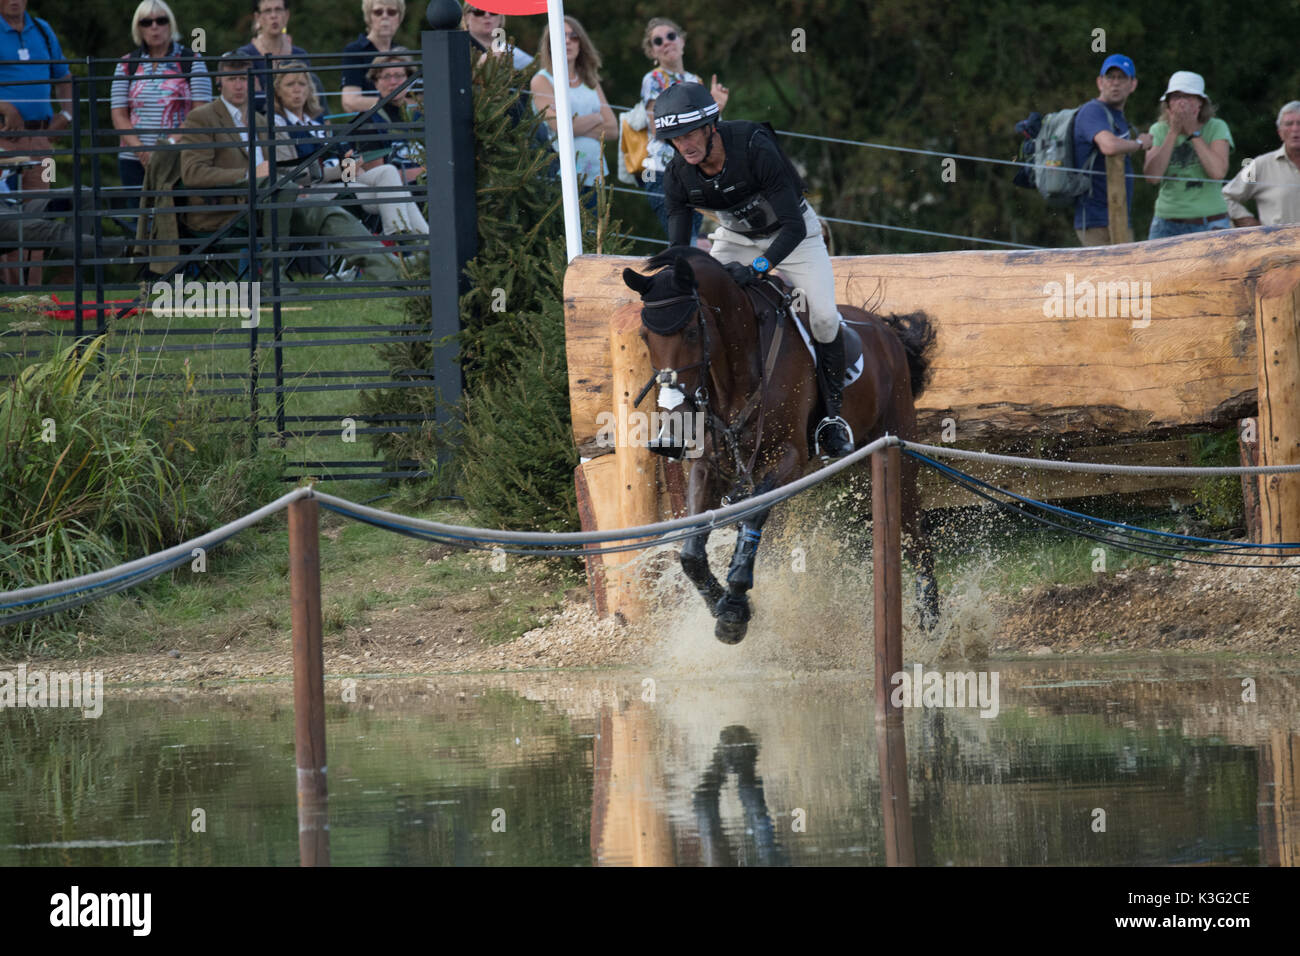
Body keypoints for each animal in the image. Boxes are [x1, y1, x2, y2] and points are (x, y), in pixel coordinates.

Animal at [624, 248, 941, 642]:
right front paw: (720, 602)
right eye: (644, 336)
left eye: (692, 332)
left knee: (916, 534)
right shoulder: (708, 464)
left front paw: (734, 608)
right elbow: (692, 550)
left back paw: (931, 621)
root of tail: (886, 331)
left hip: (897, 450)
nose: (671, 435)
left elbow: (753, 518)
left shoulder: (787, 458)